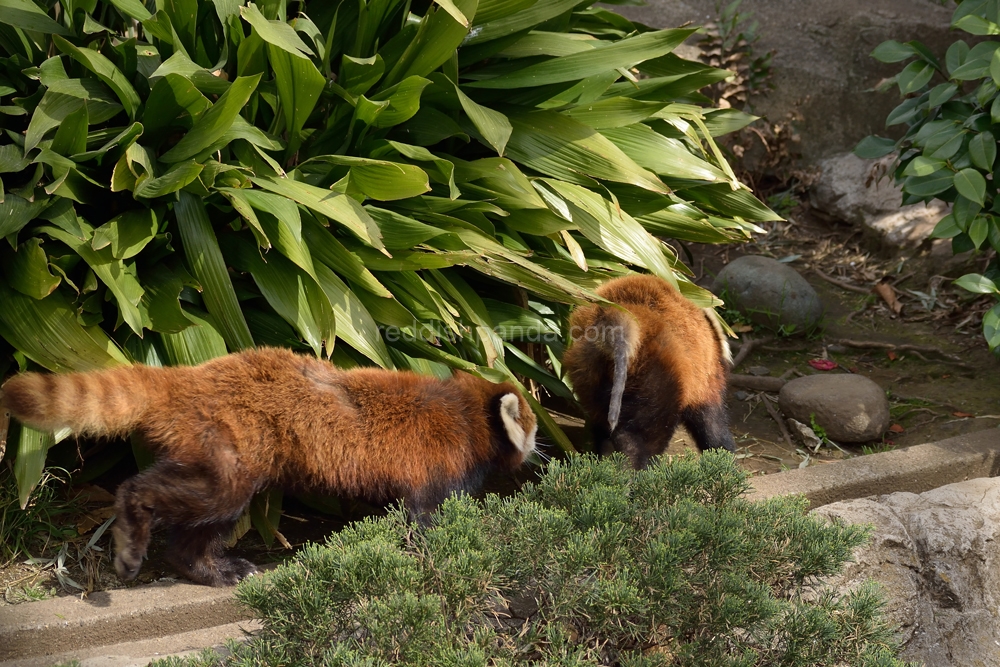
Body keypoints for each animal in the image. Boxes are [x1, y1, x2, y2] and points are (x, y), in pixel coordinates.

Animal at [0, 348, 540, 588]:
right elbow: (426, 516)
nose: (540, 452)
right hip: (230, 442)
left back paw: (208, 567)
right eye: (533, 429)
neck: (467, 413)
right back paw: (141, 536)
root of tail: (192, 376)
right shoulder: (438, 462)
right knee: (199, 497)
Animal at [564, 276, 736, 470]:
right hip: (655, 382)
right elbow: (713, 428)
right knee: (643, 440)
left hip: (589, 373)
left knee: (604, 433)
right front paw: (725, 461)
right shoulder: (706, 380)